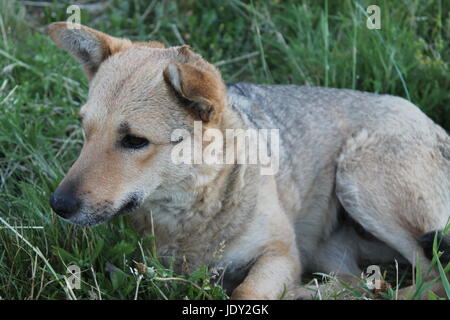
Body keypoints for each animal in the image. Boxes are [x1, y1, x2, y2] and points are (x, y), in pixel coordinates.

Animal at [47, 23, 448, 300]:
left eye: (134, 140)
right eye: (85, 130)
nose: (58, 205)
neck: (191, 215)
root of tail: (435, 125)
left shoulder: (281, 253)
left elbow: (244, 292)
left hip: (358, 182)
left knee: (429, 281)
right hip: (328, 249)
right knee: (362, 283)